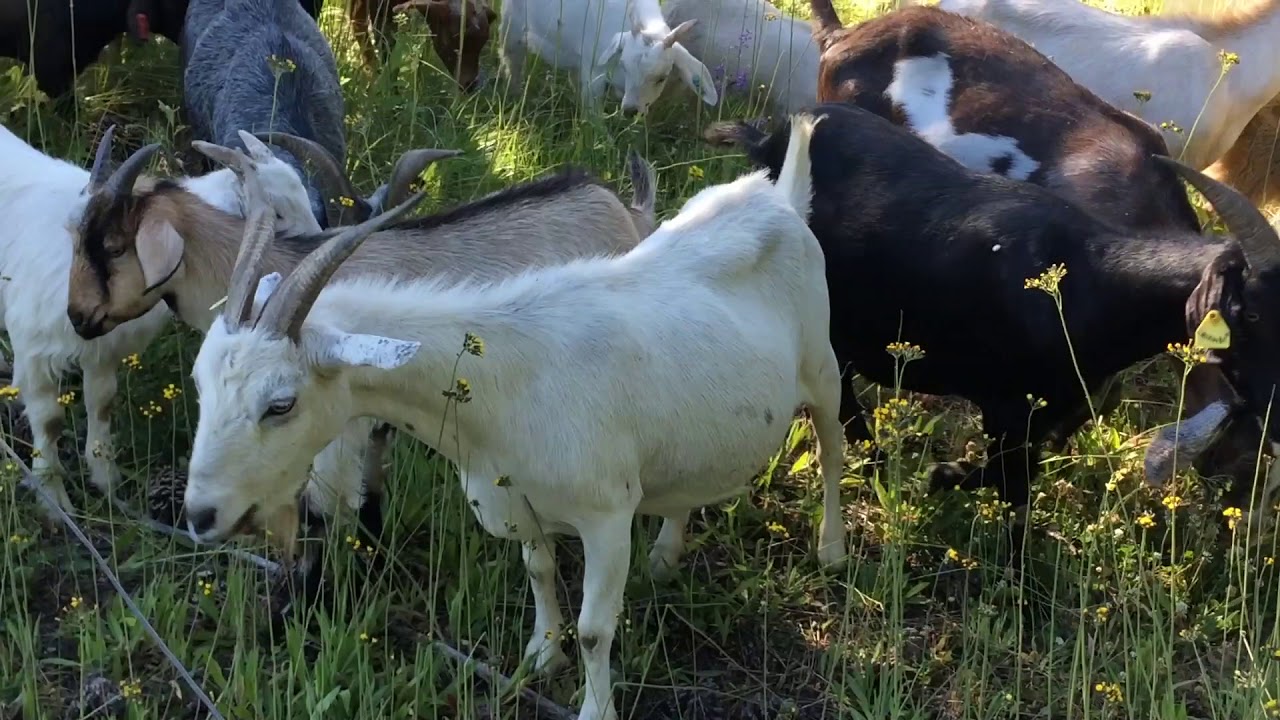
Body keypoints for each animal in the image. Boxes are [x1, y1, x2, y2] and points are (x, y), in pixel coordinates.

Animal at [68, 132, 657, 565]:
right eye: (77, 235)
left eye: (114, 247)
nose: (78, 318)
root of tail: (620, 206)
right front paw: (374, 544)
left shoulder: (336, 429)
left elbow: (322, 512)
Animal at [178, 114, 842, 720]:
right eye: (200, 385)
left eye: (281, 404)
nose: (199, 516)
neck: (507, 378)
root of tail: (776, 195)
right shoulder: (518, 500)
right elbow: (539, 569)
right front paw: (542, 656)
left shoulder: (606, 512)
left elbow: (595, 628)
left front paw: (593, 708)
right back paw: (664, 556)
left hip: (823, 365)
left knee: (832, 445)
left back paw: (831, 550)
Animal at [499, 0, 719, 115]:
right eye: (625, 66)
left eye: (661, 78)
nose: (630, 111)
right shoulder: (594, 73)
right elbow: (594, 114)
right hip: (512, 25)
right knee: (512, 61)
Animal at [704, 102, 1280, 535]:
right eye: (1250, 311)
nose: (1275, 420)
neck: (1089, 280)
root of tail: (772, 136)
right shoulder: (1006, 406)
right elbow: (1014, 489)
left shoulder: (1050, 411)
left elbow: (1011, 473)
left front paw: (944, 473)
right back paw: (874, 465)